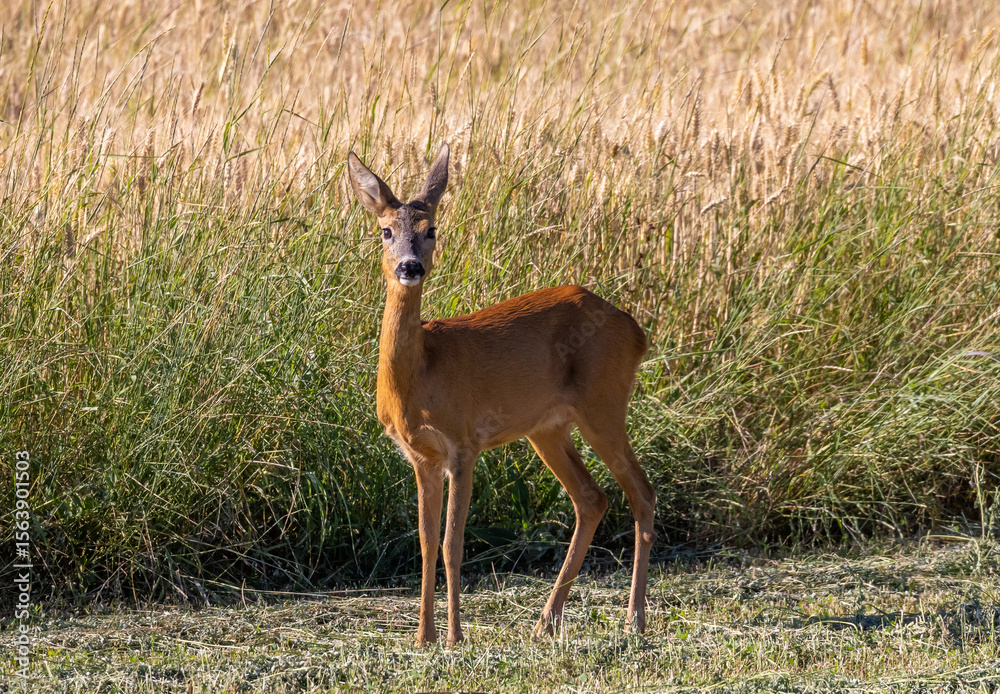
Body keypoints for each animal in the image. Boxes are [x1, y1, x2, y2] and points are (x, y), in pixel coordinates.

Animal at [346, 143, 656, 647]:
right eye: (385, 231)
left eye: (431, 229)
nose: (410, 266)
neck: (421, 376)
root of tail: (637, 331)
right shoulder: (421, 457)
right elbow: (425, 541)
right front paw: (423, 637)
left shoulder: (463, 445)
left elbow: (452, 543)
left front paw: (455, 637)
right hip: (547, 428)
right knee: (592, 498)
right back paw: (546, 621)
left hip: (604, 405)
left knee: (641, 493)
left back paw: (634, 620)